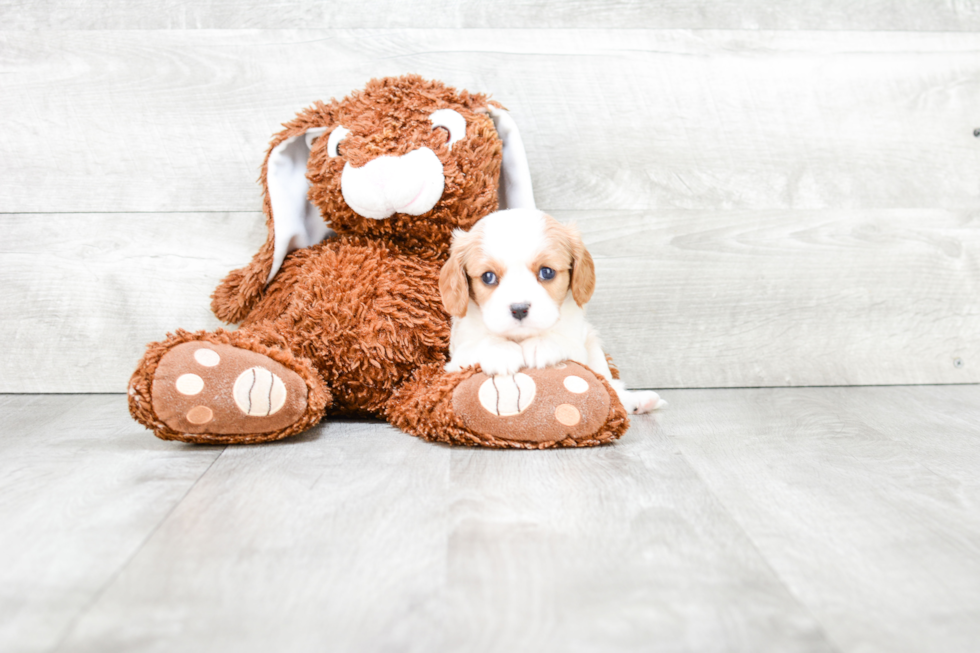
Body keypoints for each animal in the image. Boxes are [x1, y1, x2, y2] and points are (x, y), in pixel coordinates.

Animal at [438, 208, 664, 412]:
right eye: (488, 277)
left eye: (547, 272)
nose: (519, 309)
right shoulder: (456, 359)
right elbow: (480, 343)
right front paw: (500, 350)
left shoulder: (578, 341)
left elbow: (561, 339)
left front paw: (541, 344)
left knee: (611, 386)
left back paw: (638, 401)